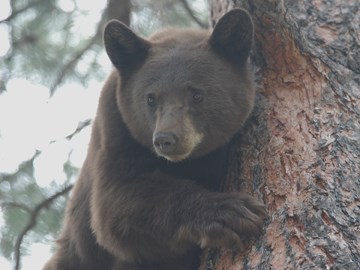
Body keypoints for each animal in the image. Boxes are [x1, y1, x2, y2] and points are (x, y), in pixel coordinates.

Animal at [43, 7, 268, 270]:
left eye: (196, 94)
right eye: (150, 98)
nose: (165, 139)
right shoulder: (115, 128)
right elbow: (114, 203)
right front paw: (231, 212)